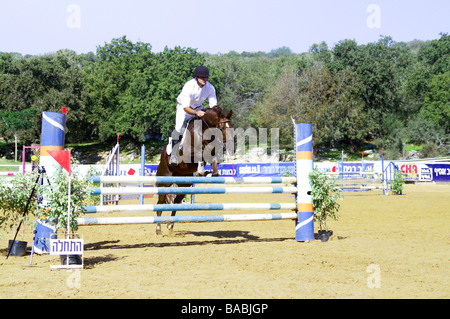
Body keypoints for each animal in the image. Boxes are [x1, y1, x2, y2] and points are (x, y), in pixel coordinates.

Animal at [154, 106, 232, 236]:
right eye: (221, 128)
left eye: (231, 127)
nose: (230, 147)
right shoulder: (189, 154)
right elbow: (200, 156)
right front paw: (201, 172)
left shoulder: (212, 153)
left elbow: (214, 167)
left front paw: (207, 173)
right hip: (164, 181)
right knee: (160, 203)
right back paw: (158, 229)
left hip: (184, 183)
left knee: (176, 202)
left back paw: (170, 226)